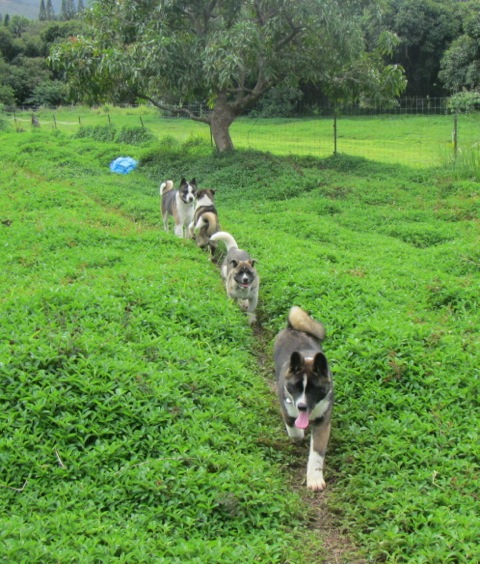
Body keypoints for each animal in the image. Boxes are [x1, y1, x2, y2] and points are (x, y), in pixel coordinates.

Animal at [274, 306, 334, 492]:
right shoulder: (286, 408)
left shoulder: (323, 422)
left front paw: (315, 479)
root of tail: (292, 327)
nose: (301, 406)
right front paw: (299, 433)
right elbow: (294, 430)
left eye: (315, 390)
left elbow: (317, 453)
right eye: (295, 387)